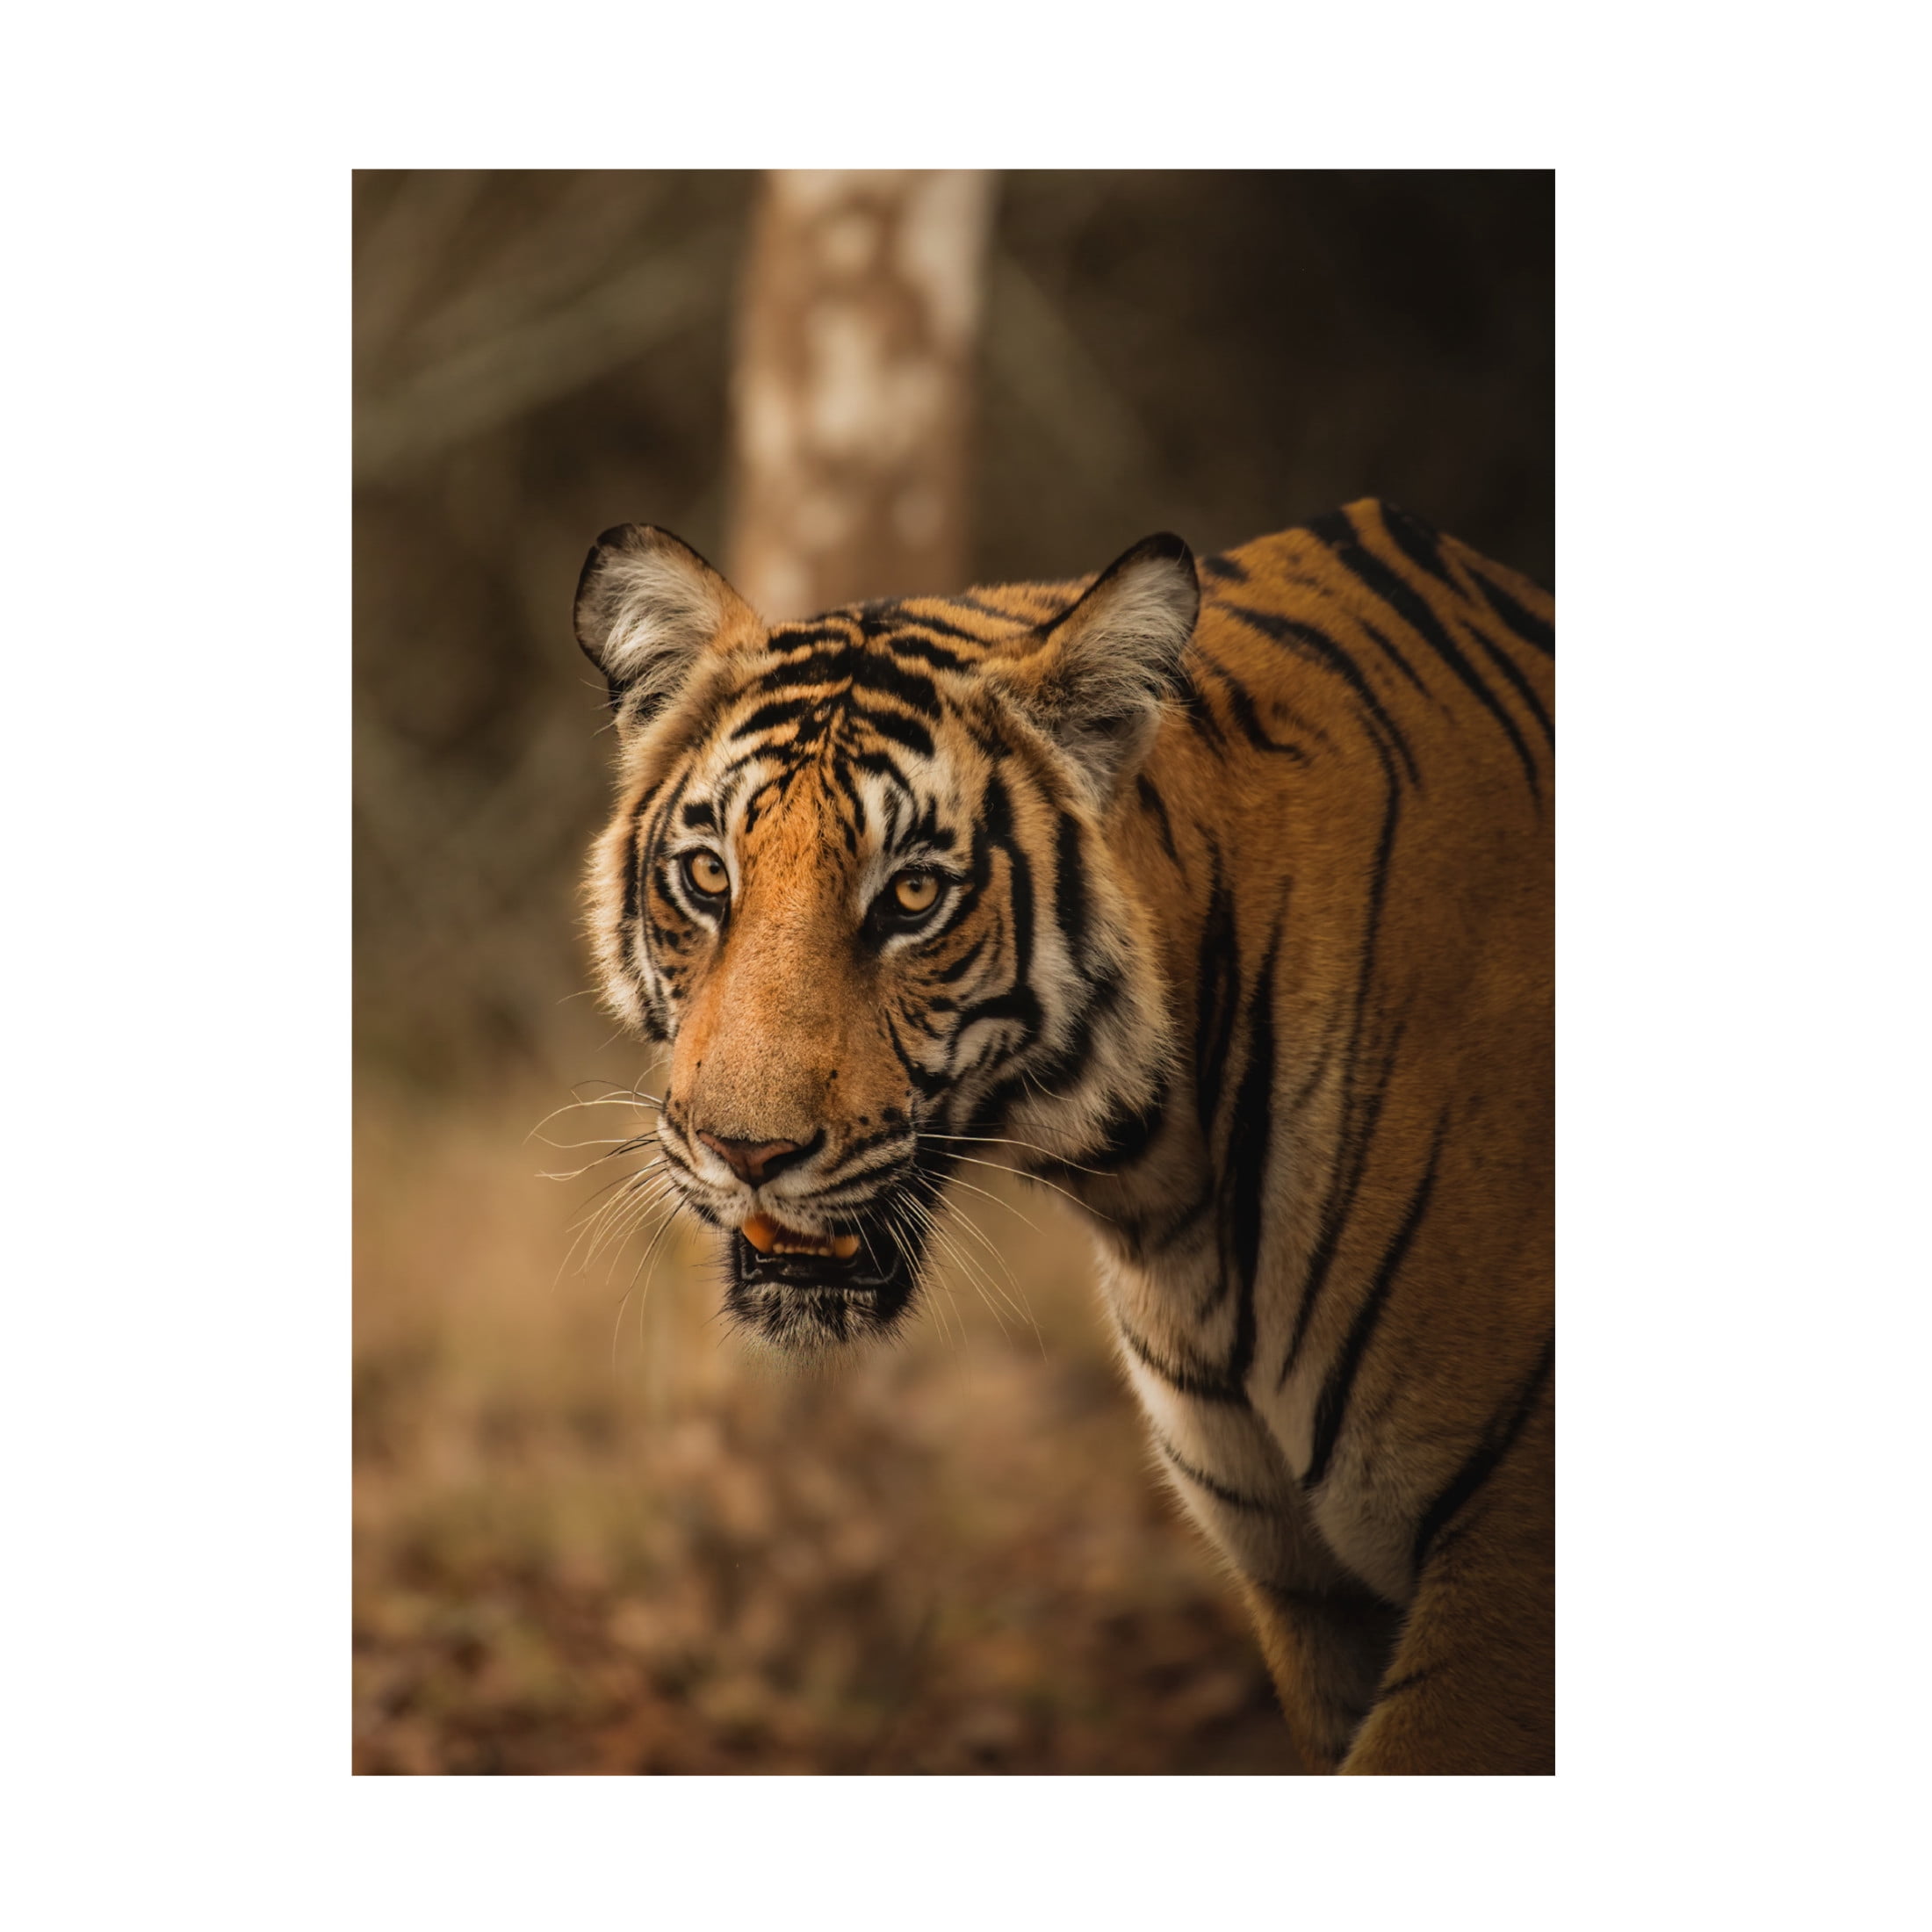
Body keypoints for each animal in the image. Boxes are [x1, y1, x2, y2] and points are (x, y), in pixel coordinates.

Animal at [573, 498, 1553, 1775]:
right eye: (704, 876)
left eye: (911, 897)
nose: (744, 1153)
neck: (1168, 1196)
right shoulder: (1310, 1590)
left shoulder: (1500, 1574)